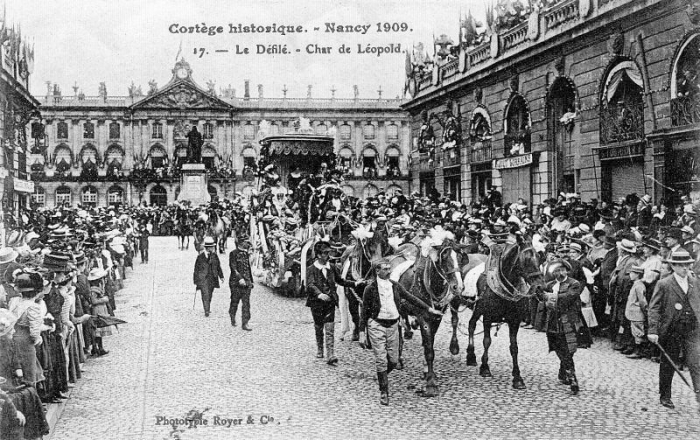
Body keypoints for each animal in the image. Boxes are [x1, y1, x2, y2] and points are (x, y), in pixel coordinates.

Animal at [452, 241, 544, 388]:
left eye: (540, 258)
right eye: (526, 259)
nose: (541, 287)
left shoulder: (515, 321)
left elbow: (514, 347)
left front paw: (517, 377)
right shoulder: (487, 317)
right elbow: (487, 341)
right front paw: (485, 367)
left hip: (477, 309)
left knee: (471, 324)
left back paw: (471, 355)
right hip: (457, 301)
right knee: (455, 321)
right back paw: (455, 347)